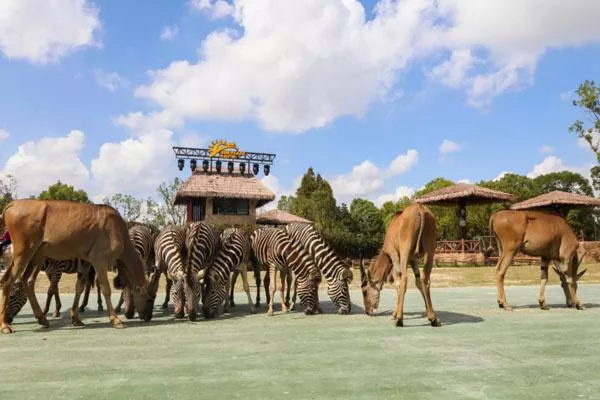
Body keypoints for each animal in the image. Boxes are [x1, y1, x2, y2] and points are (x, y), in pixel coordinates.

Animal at [0, 200, 155, 334]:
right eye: (150, 298)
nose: (148, 317)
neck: (118, 228)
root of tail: (12, 204)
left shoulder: (86, 263)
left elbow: (79, 287)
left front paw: (75, 317)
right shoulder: (99, 260)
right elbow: (106, 288)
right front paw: (115, 319)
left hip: (36, 255)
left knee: (27, 281)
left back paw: (42, 319)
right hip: (23, 253)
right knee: (7, 281)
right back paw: (4, 325)